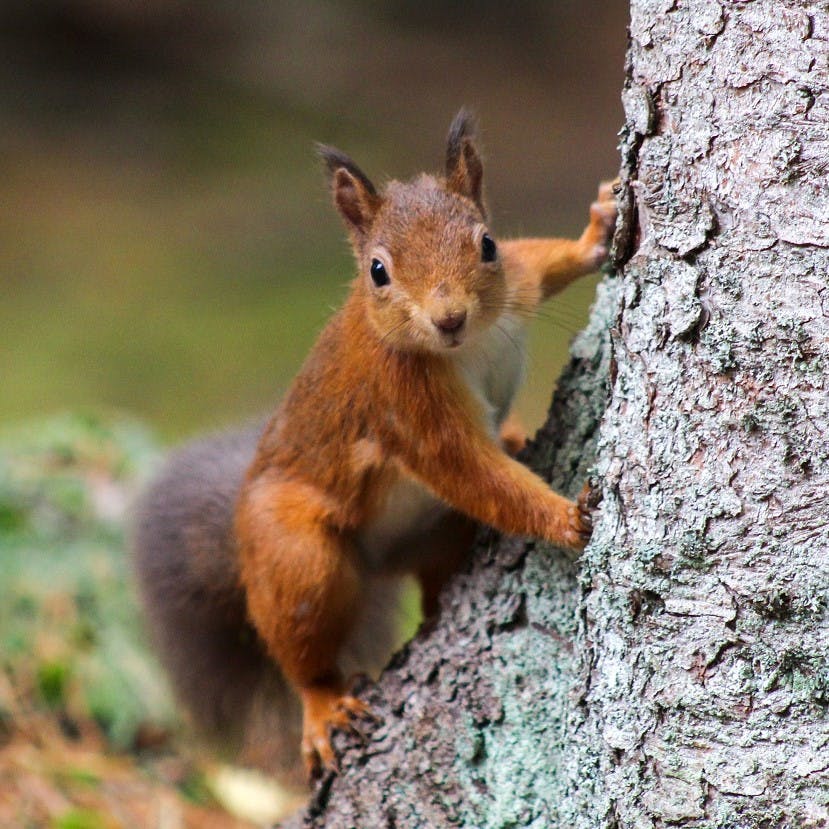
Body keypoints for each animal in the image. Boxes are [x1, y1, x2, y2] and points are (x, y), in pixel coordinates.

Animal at [134, 111, 616, 784]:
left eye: (486, 244)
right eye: (378, 272)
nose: (449, 317)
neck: (466, 347)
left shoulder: (515, 285)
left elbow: (540, 260)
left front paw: (598, 229)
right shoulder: (408, 409)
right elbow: (474, 474)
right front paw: (567, 517)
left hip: (437, 535)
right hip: (296, 557)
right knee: (301, 646)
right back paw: (322, 706)